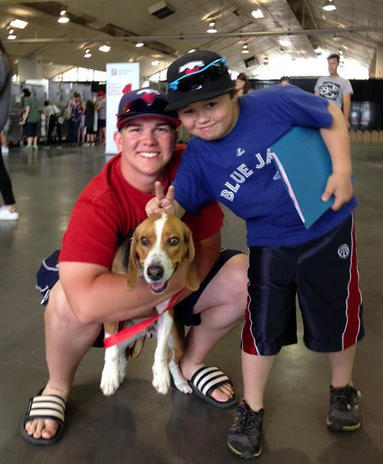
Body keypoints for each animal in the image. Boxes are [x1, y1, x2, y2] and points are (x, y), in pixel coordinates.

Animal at [100, 212, 200, 396]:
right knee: (122, 354)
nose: (154, 272)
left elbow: (160, 351)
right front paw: (110, 377)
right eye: (144, 240)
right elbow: (111, 350)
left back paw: (179, 381)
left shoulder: (166, 314)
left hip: (178, 344)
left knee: (172, 361)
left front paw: (161, 376)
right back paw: (119, 374)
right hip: (126, 336)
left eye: (173, 240)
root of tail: (145, 333)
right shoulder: (110, 311)